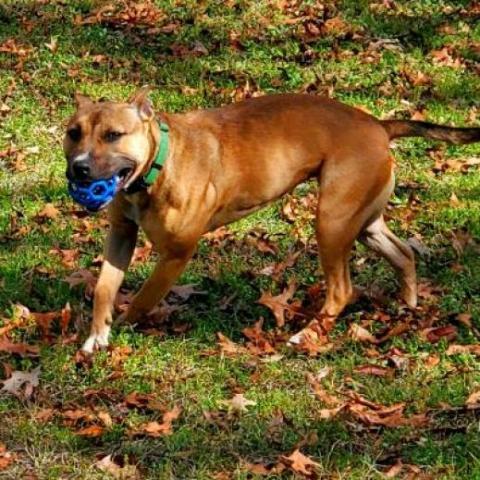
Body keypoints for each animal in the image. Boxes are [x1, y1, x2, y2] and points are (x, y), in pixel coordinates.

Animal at [64, 89, 480, 352]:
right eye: (74, 133)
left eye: (114, 135)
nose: (79, 169)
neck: (158, 164)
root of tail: (378, 124)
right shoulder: (121, 235)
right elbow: (104, 288)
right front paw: (97, 334)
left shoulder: (176, 254)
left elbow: (143, 298)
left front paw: (123, 326)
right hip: (364, 223)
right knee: (404, 253)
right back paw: (408, 305)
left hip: (331, 222)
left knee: (342, 290)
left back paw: (306, 335)